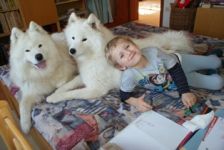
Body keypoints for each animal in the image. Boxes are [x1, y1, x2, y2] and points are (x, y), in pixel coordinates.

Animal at [46, 12, 193, 103]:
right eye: (73, 37)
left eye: (84, 39)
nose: (72, 51)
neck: (96, 56)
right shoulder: (84, 77)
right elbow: (68, 84)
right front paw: (54, 92)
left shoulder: (95, 89)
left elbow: (72, 94)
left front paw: (54, 98)